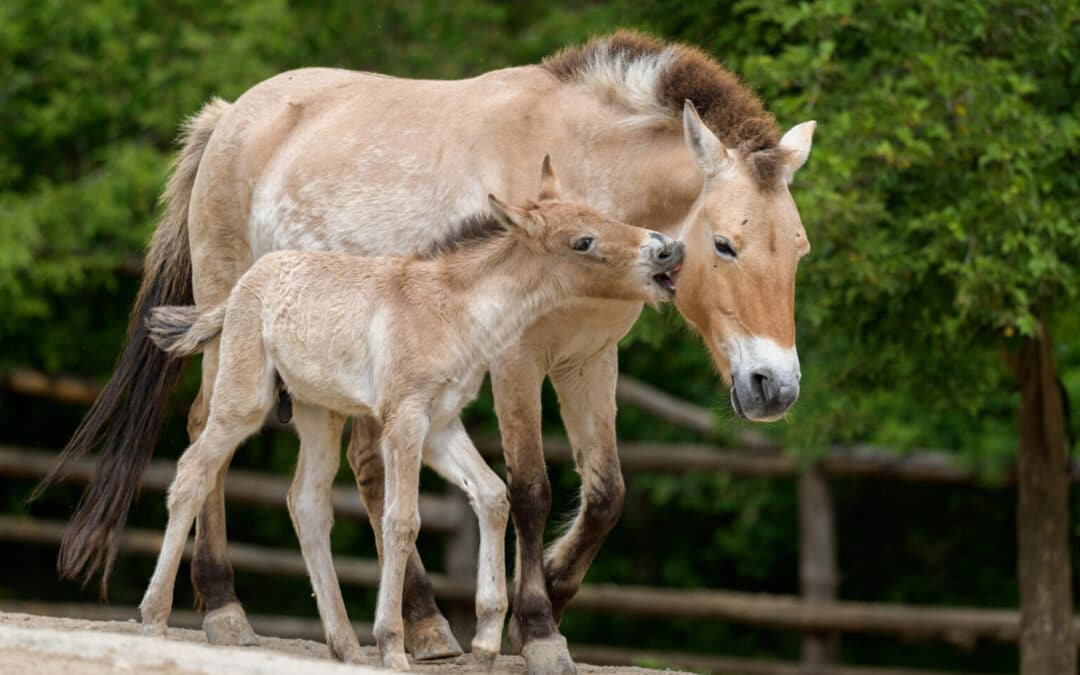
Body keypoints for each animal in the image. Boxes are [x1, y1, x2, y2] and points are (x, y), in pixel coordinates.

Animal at [137, 158, 682, 669]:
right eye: (583, 241)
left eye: (605, 215)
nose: (667, 250)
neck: (454, 310)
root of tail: (240, 288)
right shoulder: (405, 419)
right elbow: (402, 521)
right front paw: (394, 645)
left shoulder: (441, 426)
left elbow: (493, 495)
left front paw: (485, 640)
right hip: (243, 400)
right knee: (193, 472)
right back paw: (156, 618)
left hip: (319, 413)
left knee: (306, 503)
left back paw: (345, 646)